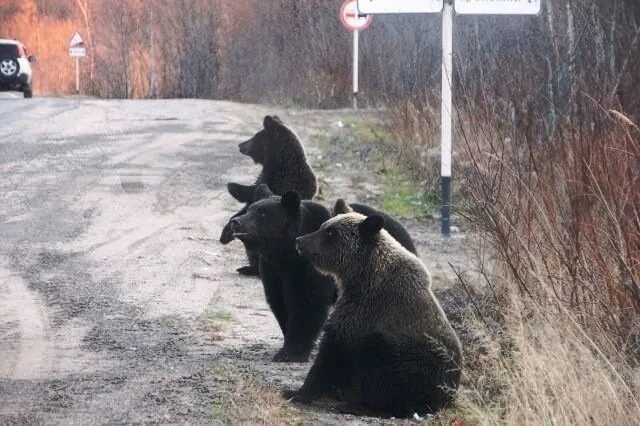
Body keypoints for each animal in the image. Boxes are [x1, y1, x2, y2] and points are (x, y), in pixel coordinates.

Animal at [221, 115, 318, 276]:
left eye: (255, 136)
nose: (240, 145)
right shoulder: (264, 183)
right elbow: (248, 203)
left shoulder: (278, 182)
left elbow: (247, 197)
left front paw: (231, 185)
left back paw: (250, 268)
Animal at [228, 185, 336, 362]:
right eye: (250, 209)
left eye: (262, 213)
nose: (236, 222)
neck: (287, 254)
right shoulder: (272, 269)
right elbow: (279, 302)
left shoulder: (310, 269)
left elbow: (308, 303)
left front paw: (291, 353)